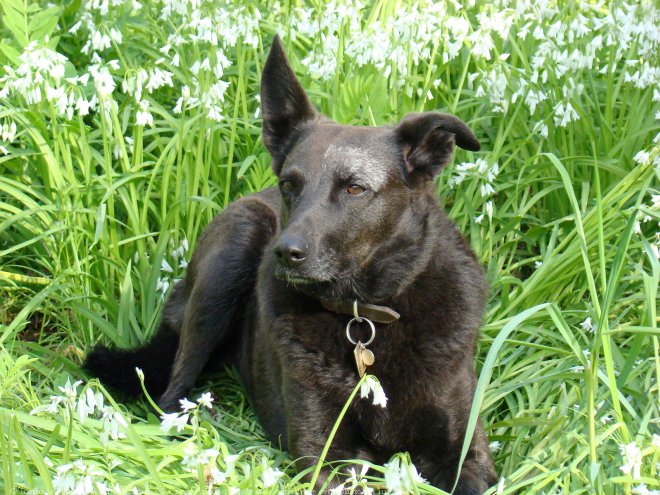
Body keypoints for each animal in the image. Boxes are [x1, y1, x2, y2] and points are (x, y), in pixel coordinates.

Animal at [86, 36, 496, 494]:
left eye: (355, 188)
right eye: (289, 184)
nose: (285, 252)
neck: (364, 316)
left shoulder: (463, 452)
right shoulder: (328, 453)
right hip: (235, 245)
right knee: (172, 392)